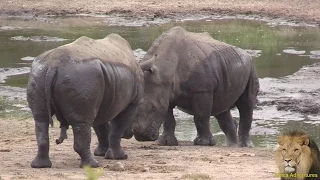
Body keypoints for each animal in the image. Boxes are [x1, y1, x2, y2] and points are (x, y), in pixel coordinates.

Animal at [26, 34, 144, 168]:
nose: (129, 135)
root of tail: (53, 65)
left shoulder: (103, 99)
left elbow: (101, 127)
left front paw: (101, 153)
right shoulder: (133, 104)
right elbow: (117, 128)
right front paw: (120, 157)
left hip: (39, 74)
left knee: (41, 119)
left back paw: (40, 165)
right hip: (81, 78)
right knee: (82, 122)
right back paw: (93, 165)